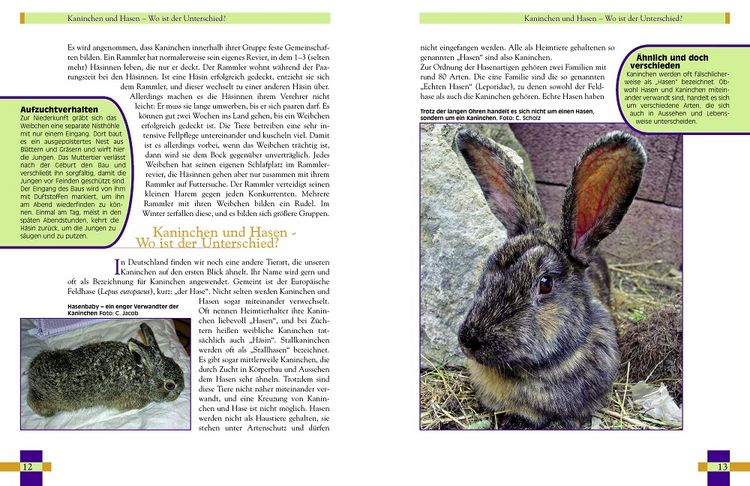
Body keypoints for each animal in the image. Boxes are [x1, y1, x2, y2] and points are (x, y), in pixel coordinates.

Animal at [27, 322, 185, 417]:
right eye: (170, 385)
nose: (180, 391)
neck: (141, 376)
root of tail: (31, 371)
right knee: (32, 401)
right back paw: (48, 412)